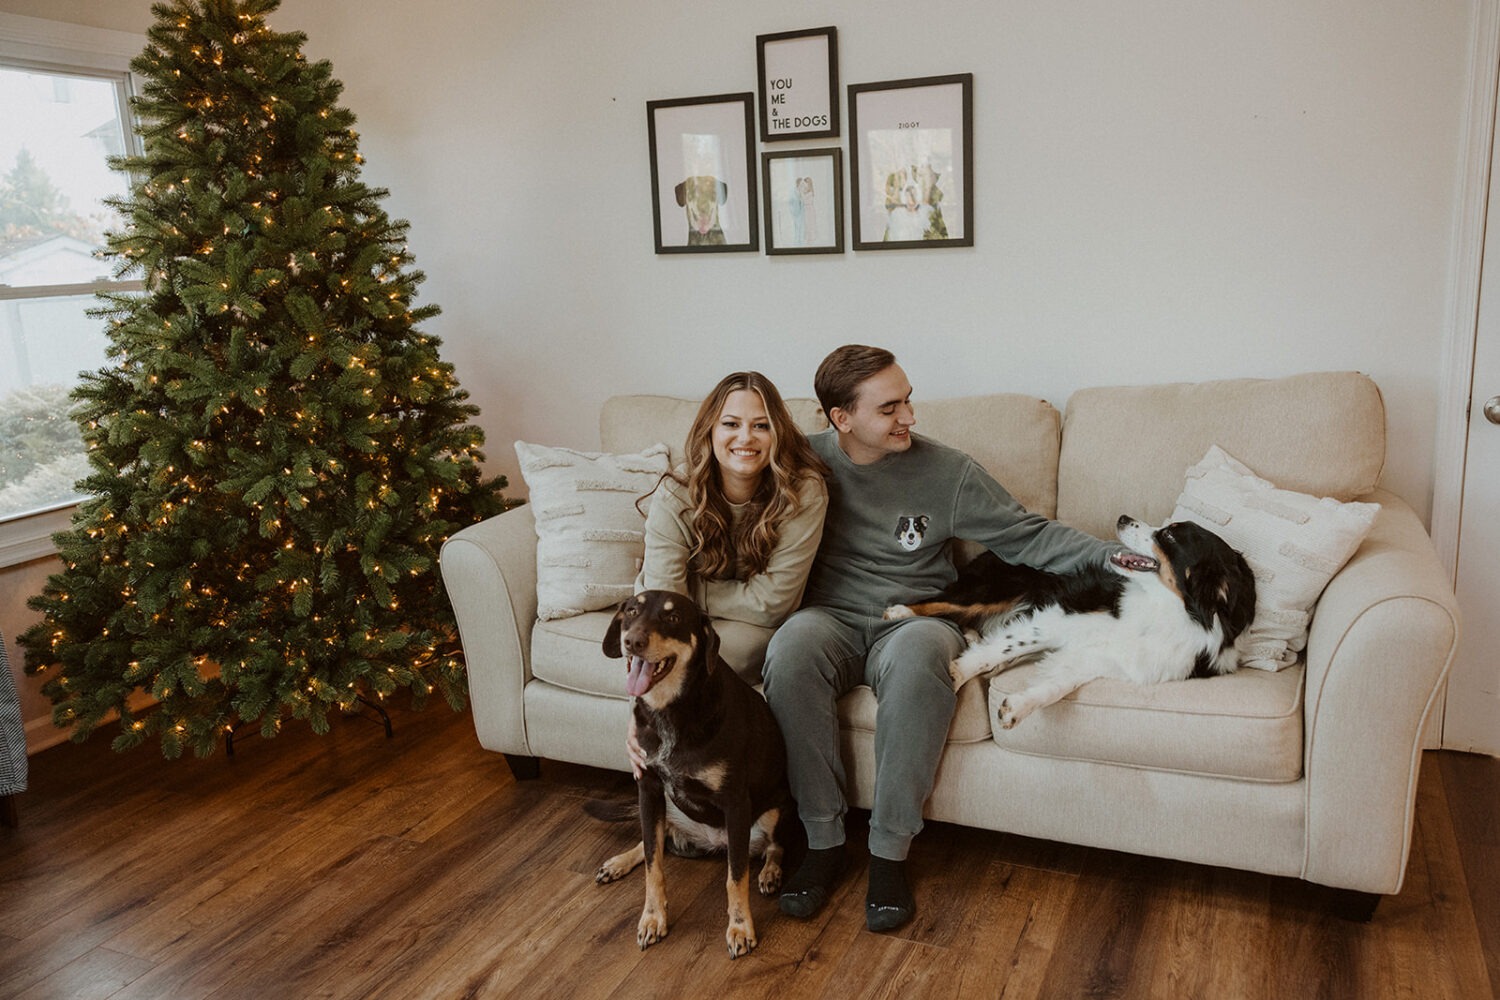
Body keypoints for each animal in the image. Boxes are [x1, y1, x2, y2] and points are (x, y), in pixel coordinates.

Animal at [594, 590, 792, 959]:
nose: (632, 642)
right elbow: (652, 864)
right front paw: (652, 919)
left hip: (773, 810)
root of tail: (712, 842)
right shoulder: (648, 789)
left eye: (672, 618)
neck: (668, 710)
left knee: (775, 846)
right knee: (654, 842)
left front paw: (740, 928)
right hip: (666, 808)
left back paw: (770, 873)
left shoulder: (735, 802)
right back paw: (617, 863)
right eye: (632, 611)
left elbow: (736, 876)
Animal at [882, 515, 1260, 728]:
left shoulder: (1107, 659)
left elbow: (1057, 685)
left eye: (1168, 536)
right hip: (996, 589)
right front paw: (959, 673)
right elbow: (1005, 648)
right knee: (945, 602)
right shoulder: (1059, 613)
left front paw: (1016, 708)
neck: (1164, 610)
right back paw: (900, 612)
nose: (1123, 517)